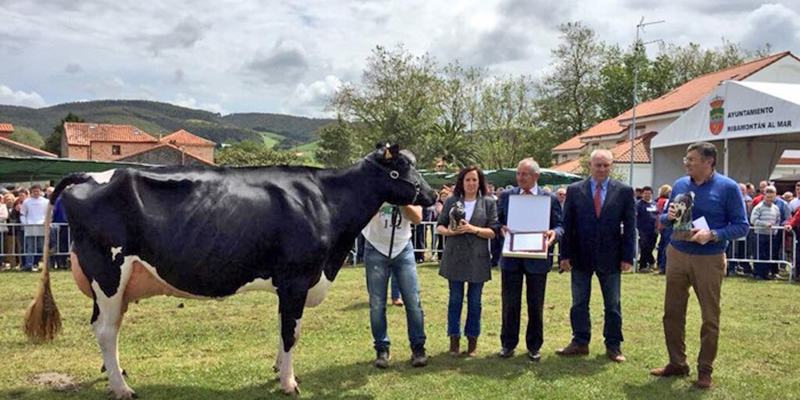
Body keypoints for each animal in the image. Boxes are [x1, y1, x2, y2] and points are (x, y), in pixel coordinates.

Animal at [25, 143, 434, 396]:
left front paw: (278, 370)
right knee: (106, 330)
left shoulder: (290, 284)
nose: (430, 196)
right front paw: (289, 382)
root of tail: (88, 176)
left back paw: (116, 376)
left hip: (117, 283)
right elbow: (291, 331)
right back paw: (124, 390)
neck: (325, 200)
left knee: (106, 328)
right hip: (109, 271)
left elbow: (285, 327)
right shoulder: (296, 278)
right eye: (401, 169)